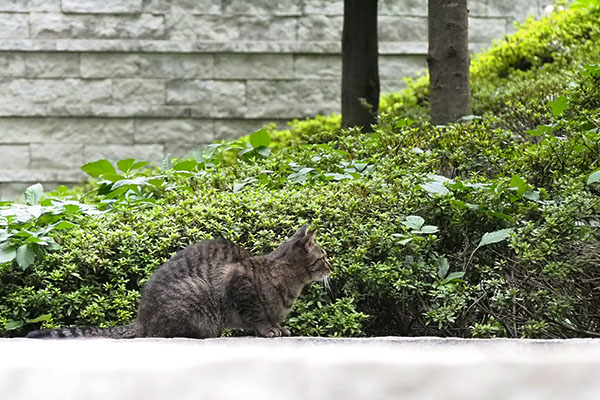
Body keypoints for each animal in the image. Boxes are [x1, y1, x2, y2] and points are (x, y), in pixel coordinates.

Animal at [25, 227, 330, 340]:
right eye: (325, 256)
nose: (333, 266)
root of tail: (142, 319)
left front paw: (280, 327)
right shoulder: (238, 283)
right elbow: (258, 316)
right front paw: (269, 329)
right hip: (196, 299)